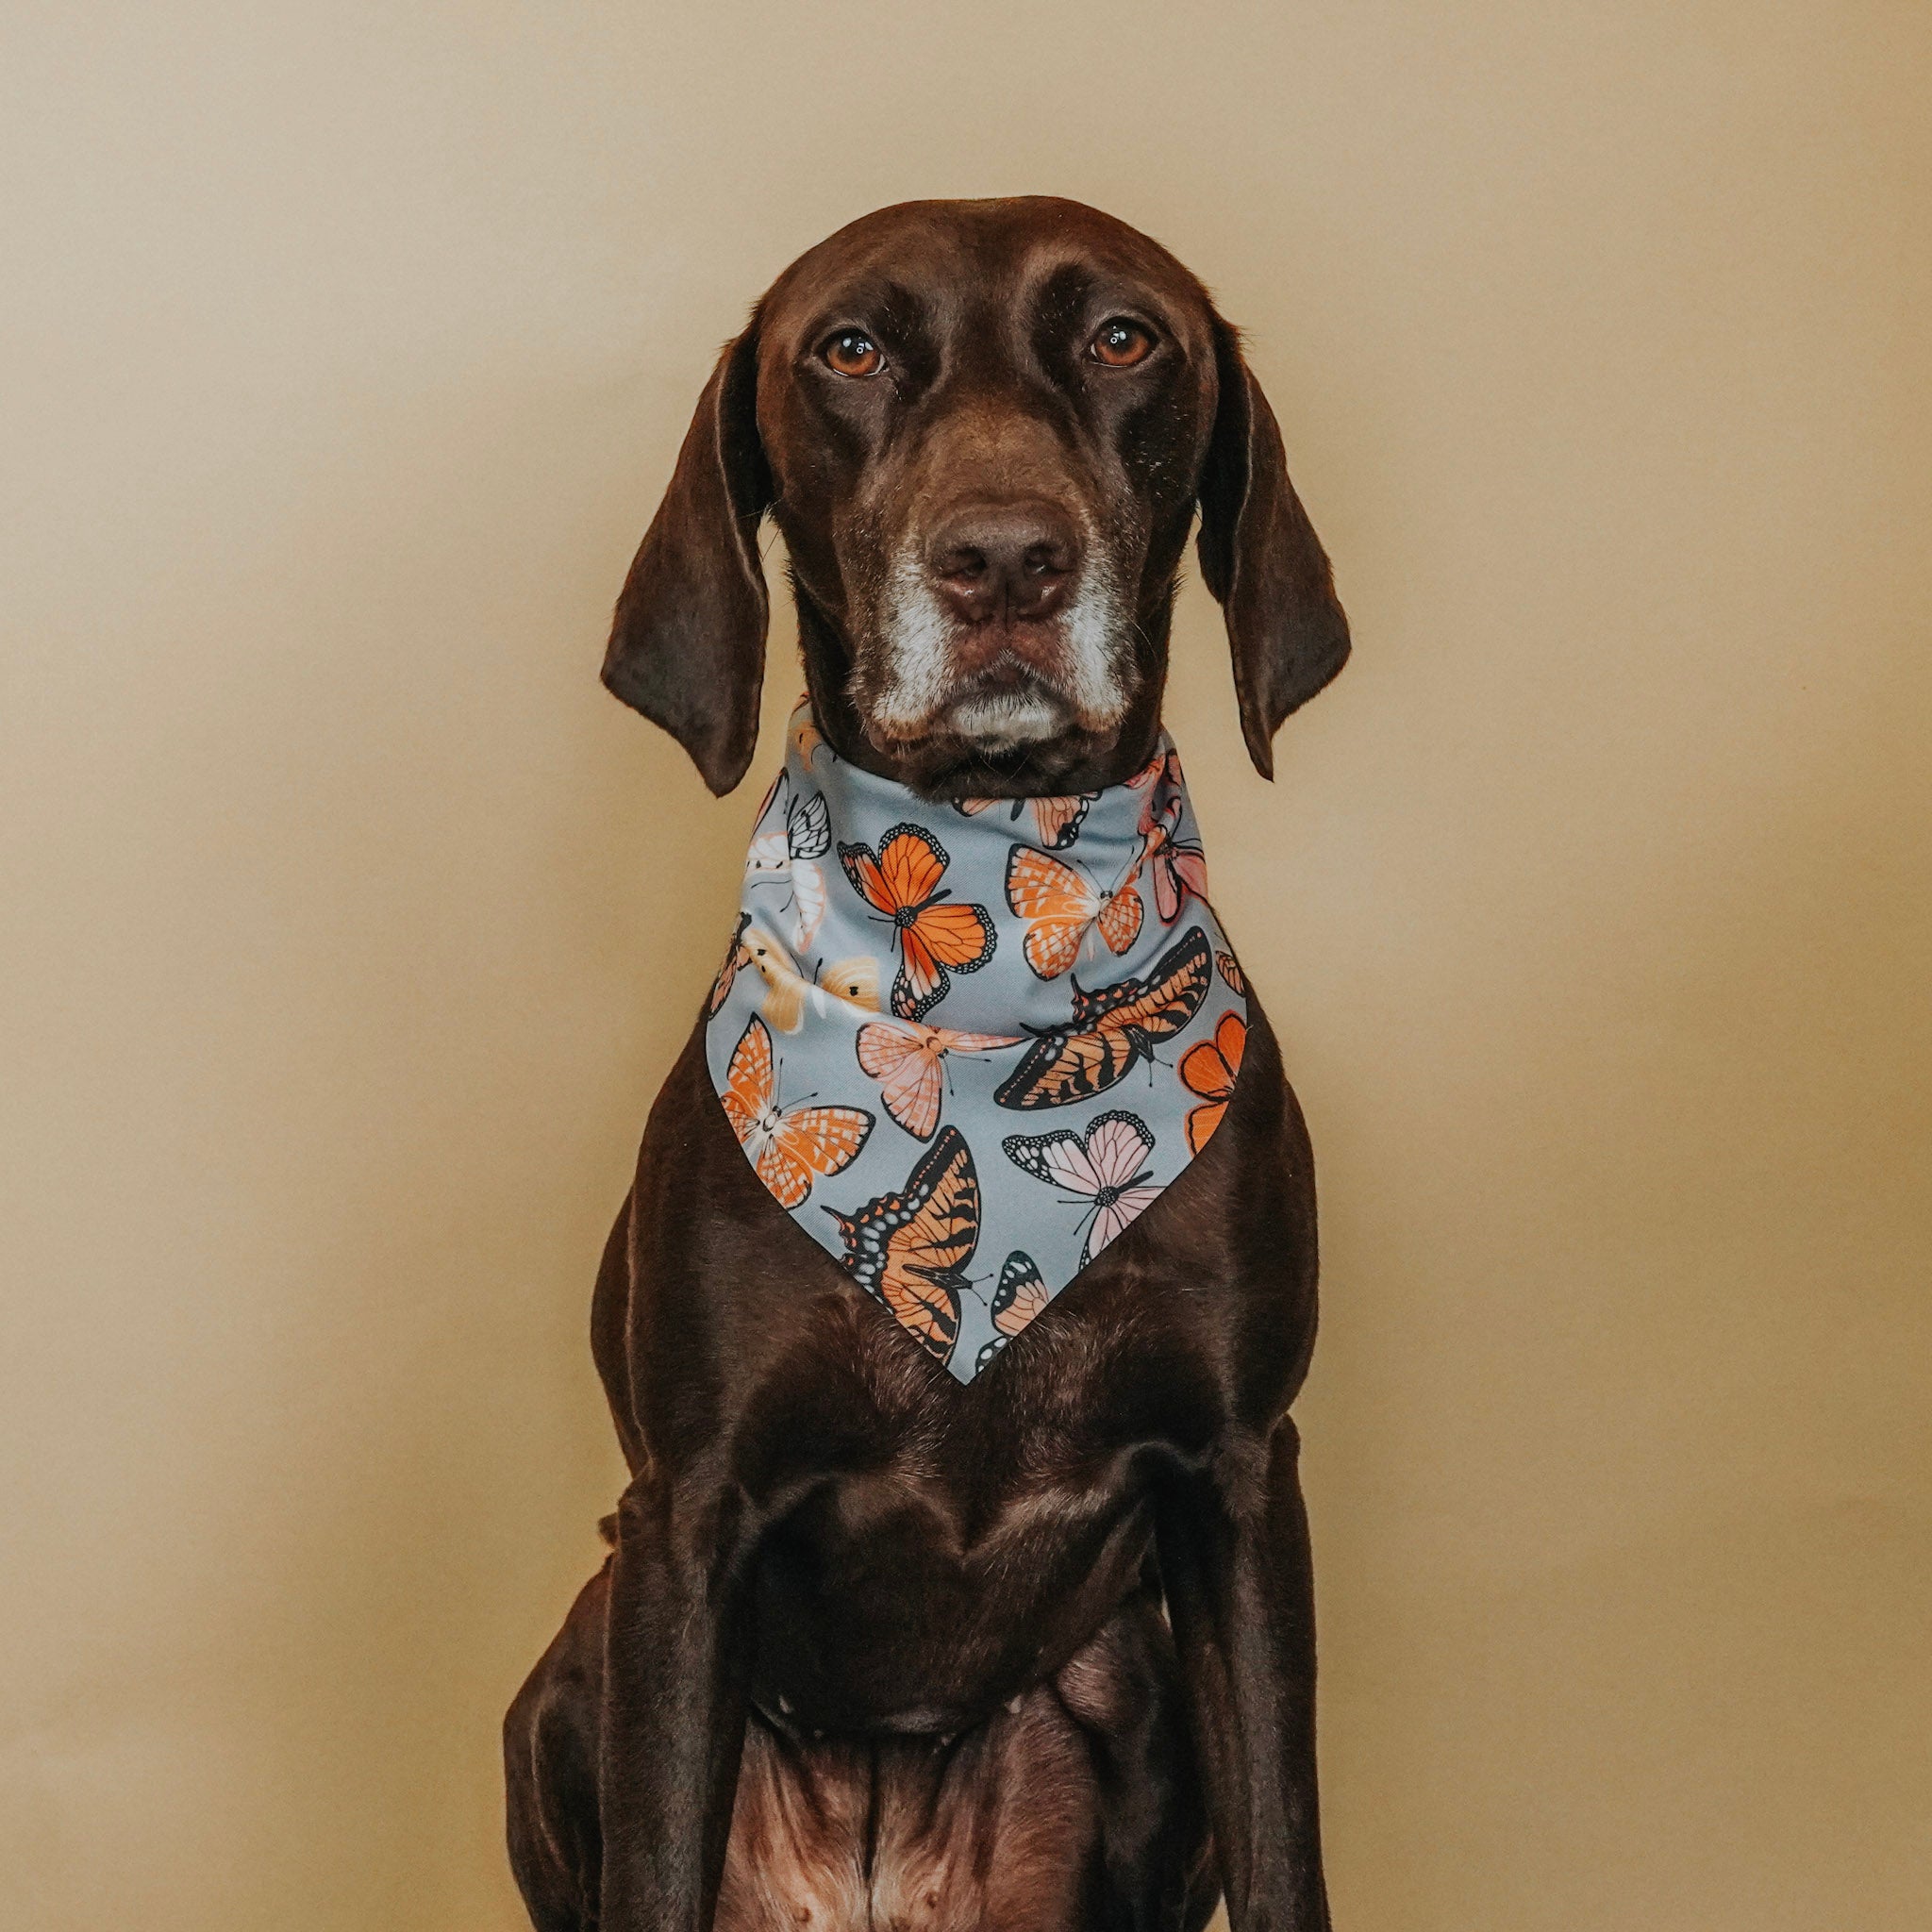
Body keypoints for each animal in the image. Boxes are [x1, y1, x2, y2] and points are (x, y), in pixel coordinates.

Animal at [513, 195, 1359, 1932]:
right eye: (847, 349)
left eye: (1123, 336)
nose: (1005, 559)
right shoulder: (683, 1523)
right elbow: (655, 1864)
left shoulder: (1245, 1484)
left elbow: (1286, 1852)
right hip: (573, 1649)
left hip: (1130, 1686)